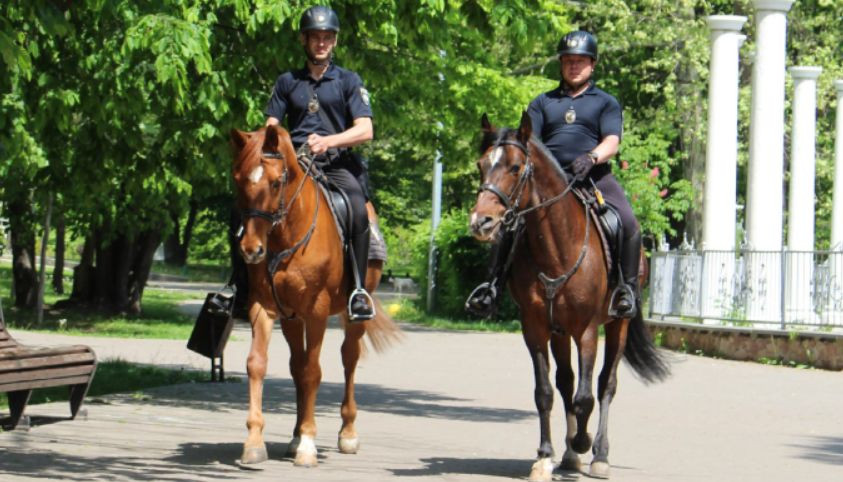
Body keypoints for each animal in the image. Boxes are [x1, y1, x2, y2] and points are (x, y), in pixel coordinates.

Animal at [231, 124, 402, 466]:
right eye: (239, 180)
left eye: (275, 182)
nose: (251, 250)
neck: (286, 239)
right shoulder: (265, 307)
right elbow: (258, 364)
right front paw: (255, 442)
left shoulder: (317, 311)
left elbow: (313, 371)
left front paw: (308, 444)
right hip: (291, 320)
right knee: (297, 366)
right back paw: (295, 436)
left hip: (353, 315)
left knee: (348, 359)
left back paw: (347, 434)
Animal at [464, 112, 668, 478]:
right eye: (481, 164)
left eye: (515, 167)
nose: (481, 222)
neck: (556, 246)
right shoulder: (535, 328)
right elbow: (545, 392)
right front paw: (545, 455)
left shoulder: (586, 330)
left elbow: (587, 396)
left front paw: (584, 443)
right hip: (558, 332)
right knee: (566, 382)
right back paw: (570, 454)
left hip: (616, 325)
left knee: (605, 384)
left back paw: (598, 454)